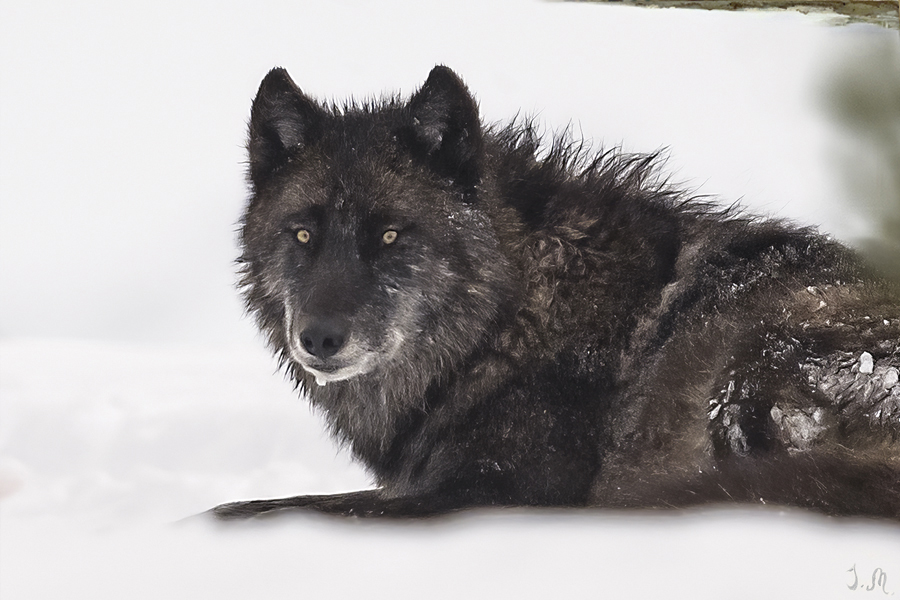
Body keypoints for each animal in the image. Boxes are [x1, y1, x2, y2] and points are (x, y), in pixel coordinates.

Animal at [213, 66, 900, 520]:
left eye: (389, 234)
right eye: (303, 233)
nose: (319, 338)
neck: (510, 318)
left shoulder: (497, 492)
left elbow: (283, 507)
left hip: (754, 364)